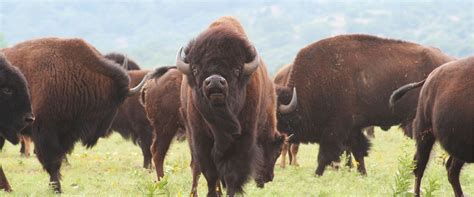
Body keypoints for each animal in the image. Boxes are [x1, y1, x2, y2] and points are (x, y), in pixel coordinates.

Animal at [1, 38, 150, 192]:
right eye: (115, 102)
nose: (104, 132)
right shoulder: (46, 132)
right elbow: (52, 161)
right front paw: (56, 188)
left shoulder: (64, 134)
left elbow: (58, 159)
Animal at [176, 16, 284, 195]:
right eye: (196, 69)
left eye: (236, 69)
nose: (214, 81)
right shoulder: (201, 140)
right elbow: (210, 174)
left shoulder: (242, 141)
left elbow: (232, 175)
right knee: (196, 168)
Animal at [276, 34, 454, 176]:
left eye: (276, 116)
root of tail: (449, 61)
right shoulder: (352, 129)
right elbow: (358, 152)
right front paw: (362, 173)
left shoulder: (335, 128)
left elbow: (326, 155)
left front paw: (317, 174)